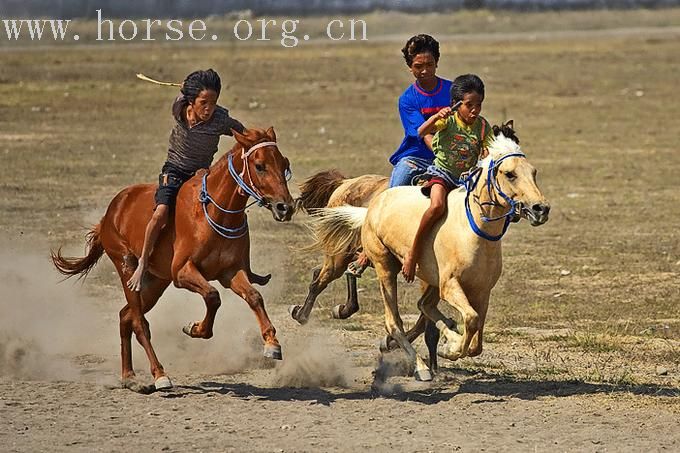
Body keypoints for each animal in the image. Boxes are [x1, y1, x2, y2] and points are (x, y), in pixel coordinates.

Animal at [53, 127, 294, 388]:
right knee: (139, 323)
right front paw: (195, 328)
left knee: (125, 316)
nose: (286, 207)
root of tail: (110, 213)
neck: (214, 212)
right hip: (127, 267)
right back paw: (159, 375)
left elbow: (254, 297)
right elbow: (213, 296)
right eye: (260, 166)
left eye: (284, 163)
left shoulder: (229, 272)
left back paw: (129, 376)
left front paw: (272, 344)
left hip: (156, 282)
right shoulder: (182, 272)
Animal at [310, 132, 548, 380]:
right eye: (510, 174)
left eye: (533, 172)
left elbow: (475, 341)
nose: (540, 209)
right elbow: (470, 321)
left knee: (423, 306)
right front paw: (450, 349)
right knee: (393, 322)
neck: (473, 231)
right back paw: (421, 367)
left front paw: (450, 342)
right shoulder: (449, 285)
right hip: (383, 267)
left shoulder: (482, 291)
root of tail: (373, 206)